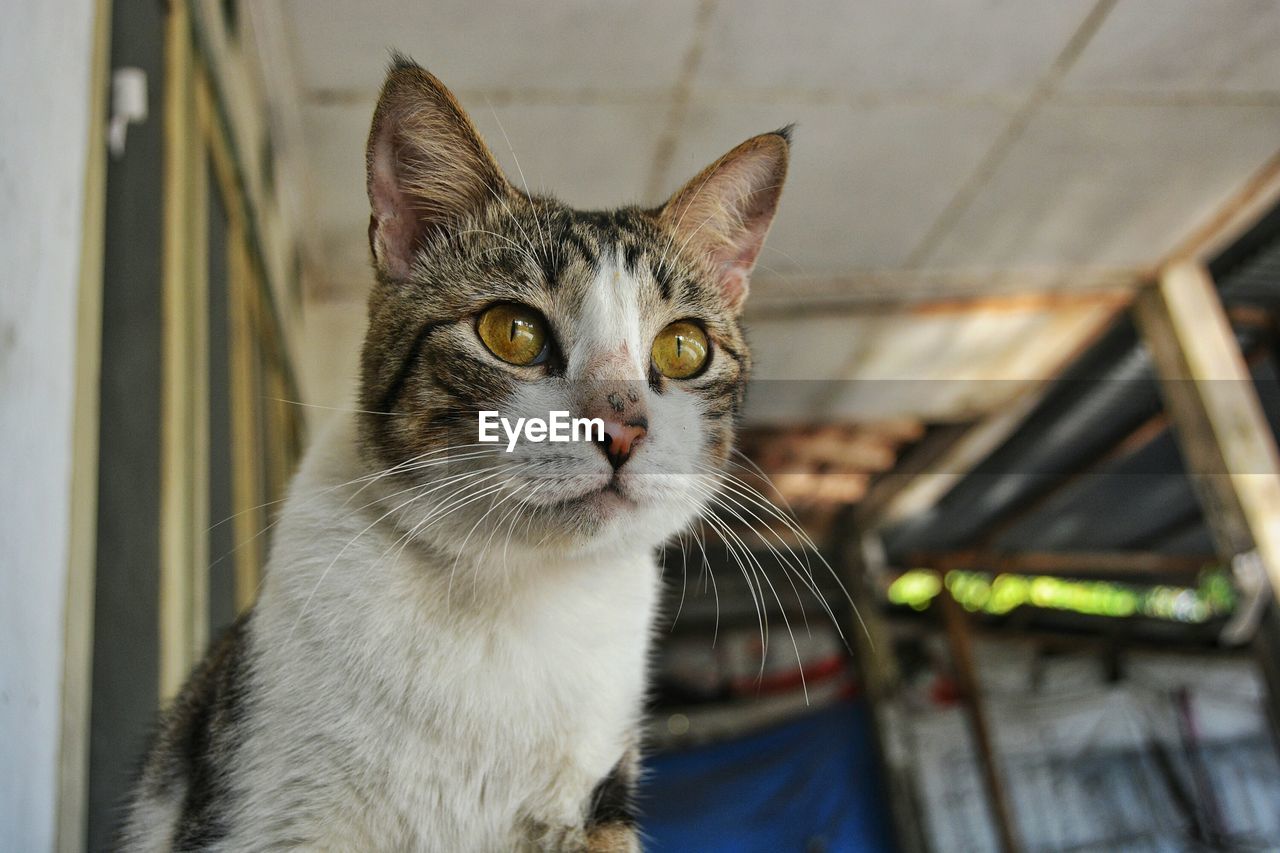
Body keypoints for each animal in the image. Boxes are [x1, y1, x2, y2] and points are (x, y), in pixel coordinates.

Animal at [127, 56, 788, 845]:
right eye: (512, 332)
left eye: (683, 348)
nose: (623, 425)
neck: (512, 593)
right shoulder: (272, 804)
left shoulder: (595, 801)